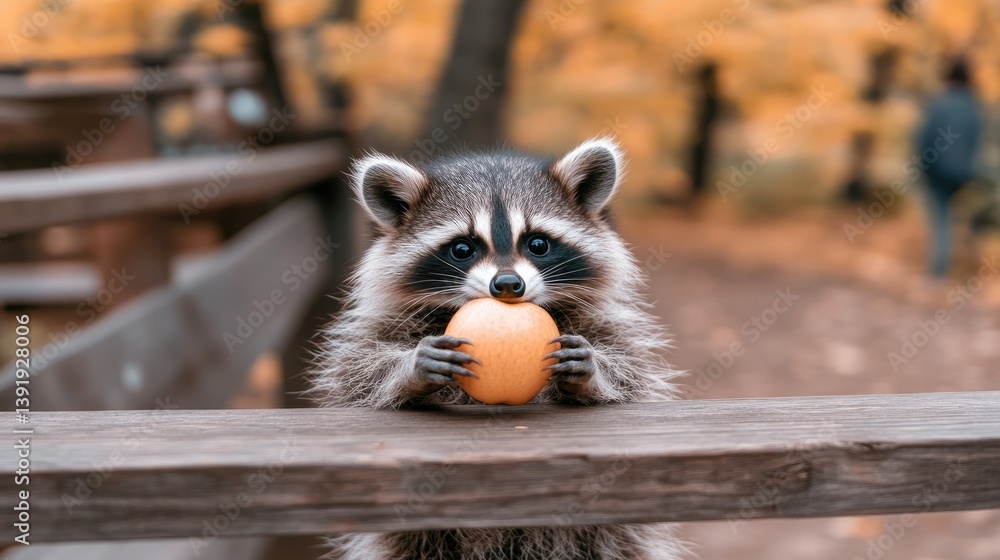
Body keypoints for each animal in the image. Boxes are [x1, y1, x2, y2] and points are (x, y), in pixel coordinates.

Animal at [313, 138, 683, 560]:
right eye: (462, 249)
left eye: (537, 244)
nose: (507, 284)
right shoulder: (381, 325)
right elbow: (356, 375)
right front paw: (409, 369)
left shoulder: (606, 323)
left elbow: (630, 374)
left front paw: (592, 373)